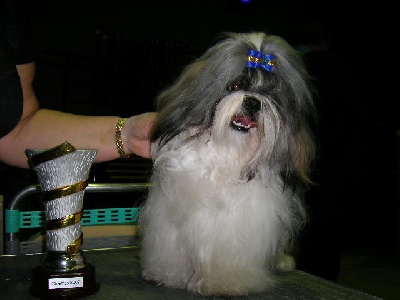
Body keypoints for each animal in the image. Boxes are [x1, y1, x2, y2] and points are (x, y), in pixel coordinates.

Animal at [138, 31, 316, 296]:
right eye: (235, 86)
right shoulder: (170, 216)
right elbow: (172, 249)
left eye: (271, 94)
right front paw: (167, 274)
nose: (253, 102)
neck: (228, 150)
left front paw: (225, 282)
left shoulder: (242, 223)